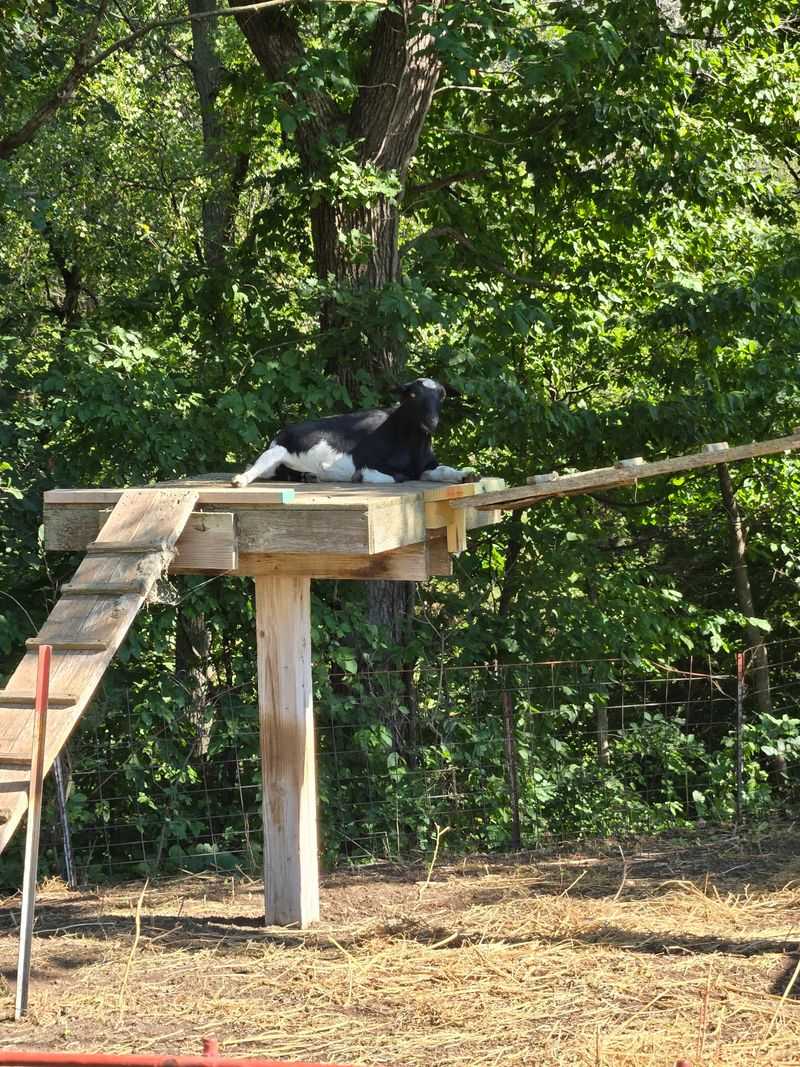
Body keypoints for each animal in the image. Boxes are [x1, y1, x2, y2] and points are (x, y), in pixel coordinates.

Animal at [231, 377, 475, 486]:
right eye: (413, 395)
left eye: (442, 395)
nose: (431, 422)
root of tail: (283, 432)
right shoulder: (371, 464)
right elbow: (398, 477)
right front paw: (359, 477)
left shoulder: (427, 466)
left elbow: (443, 470)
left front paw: (466, 474)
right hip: (278, 452)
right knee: (259, 465)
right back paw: (240, 480)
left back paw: (309, 476)